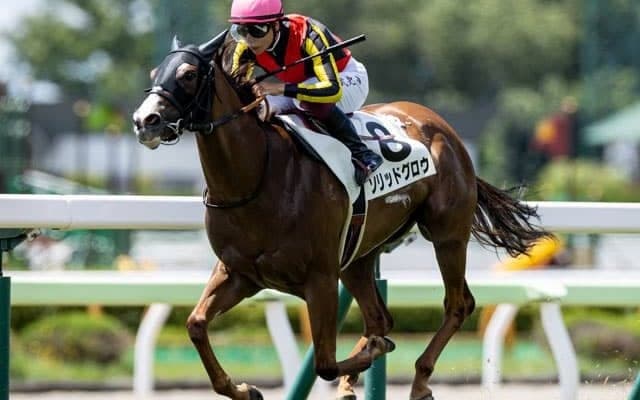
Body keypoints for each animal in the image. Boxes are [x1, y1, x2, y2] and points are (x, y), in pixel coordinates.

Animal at [132, 32, 552, 400]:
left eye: (188, 74)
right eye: (154, 73)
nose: (144, 121)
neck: (257, 177)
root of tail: (443, 128)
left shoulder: (319, 277)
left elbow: (326, 363)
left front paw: (369, 356)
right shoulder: (240, 274)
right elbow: (196, 324)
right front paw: (244, 389)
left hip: (446, 234)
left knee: (457, 304)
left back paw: (418, 380)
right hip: (358, 256)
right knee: (380, 316)